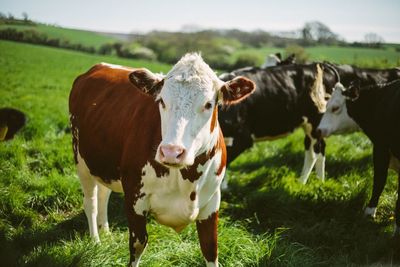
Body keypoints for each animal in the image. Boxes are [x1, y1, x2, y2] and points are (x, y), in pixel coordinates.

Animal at [69, 53, 255, 266]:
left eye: (209, 104)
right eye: (162, 101)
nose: (171, 152)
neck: (186, 178)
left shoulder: (212, 203)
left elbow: (210, 248)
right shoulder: (134, 197)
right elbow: (138, 245)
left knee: (103, 194)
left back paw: (106, 232)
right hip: (81, 161)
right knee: (90, 202)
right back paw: (96, 240)